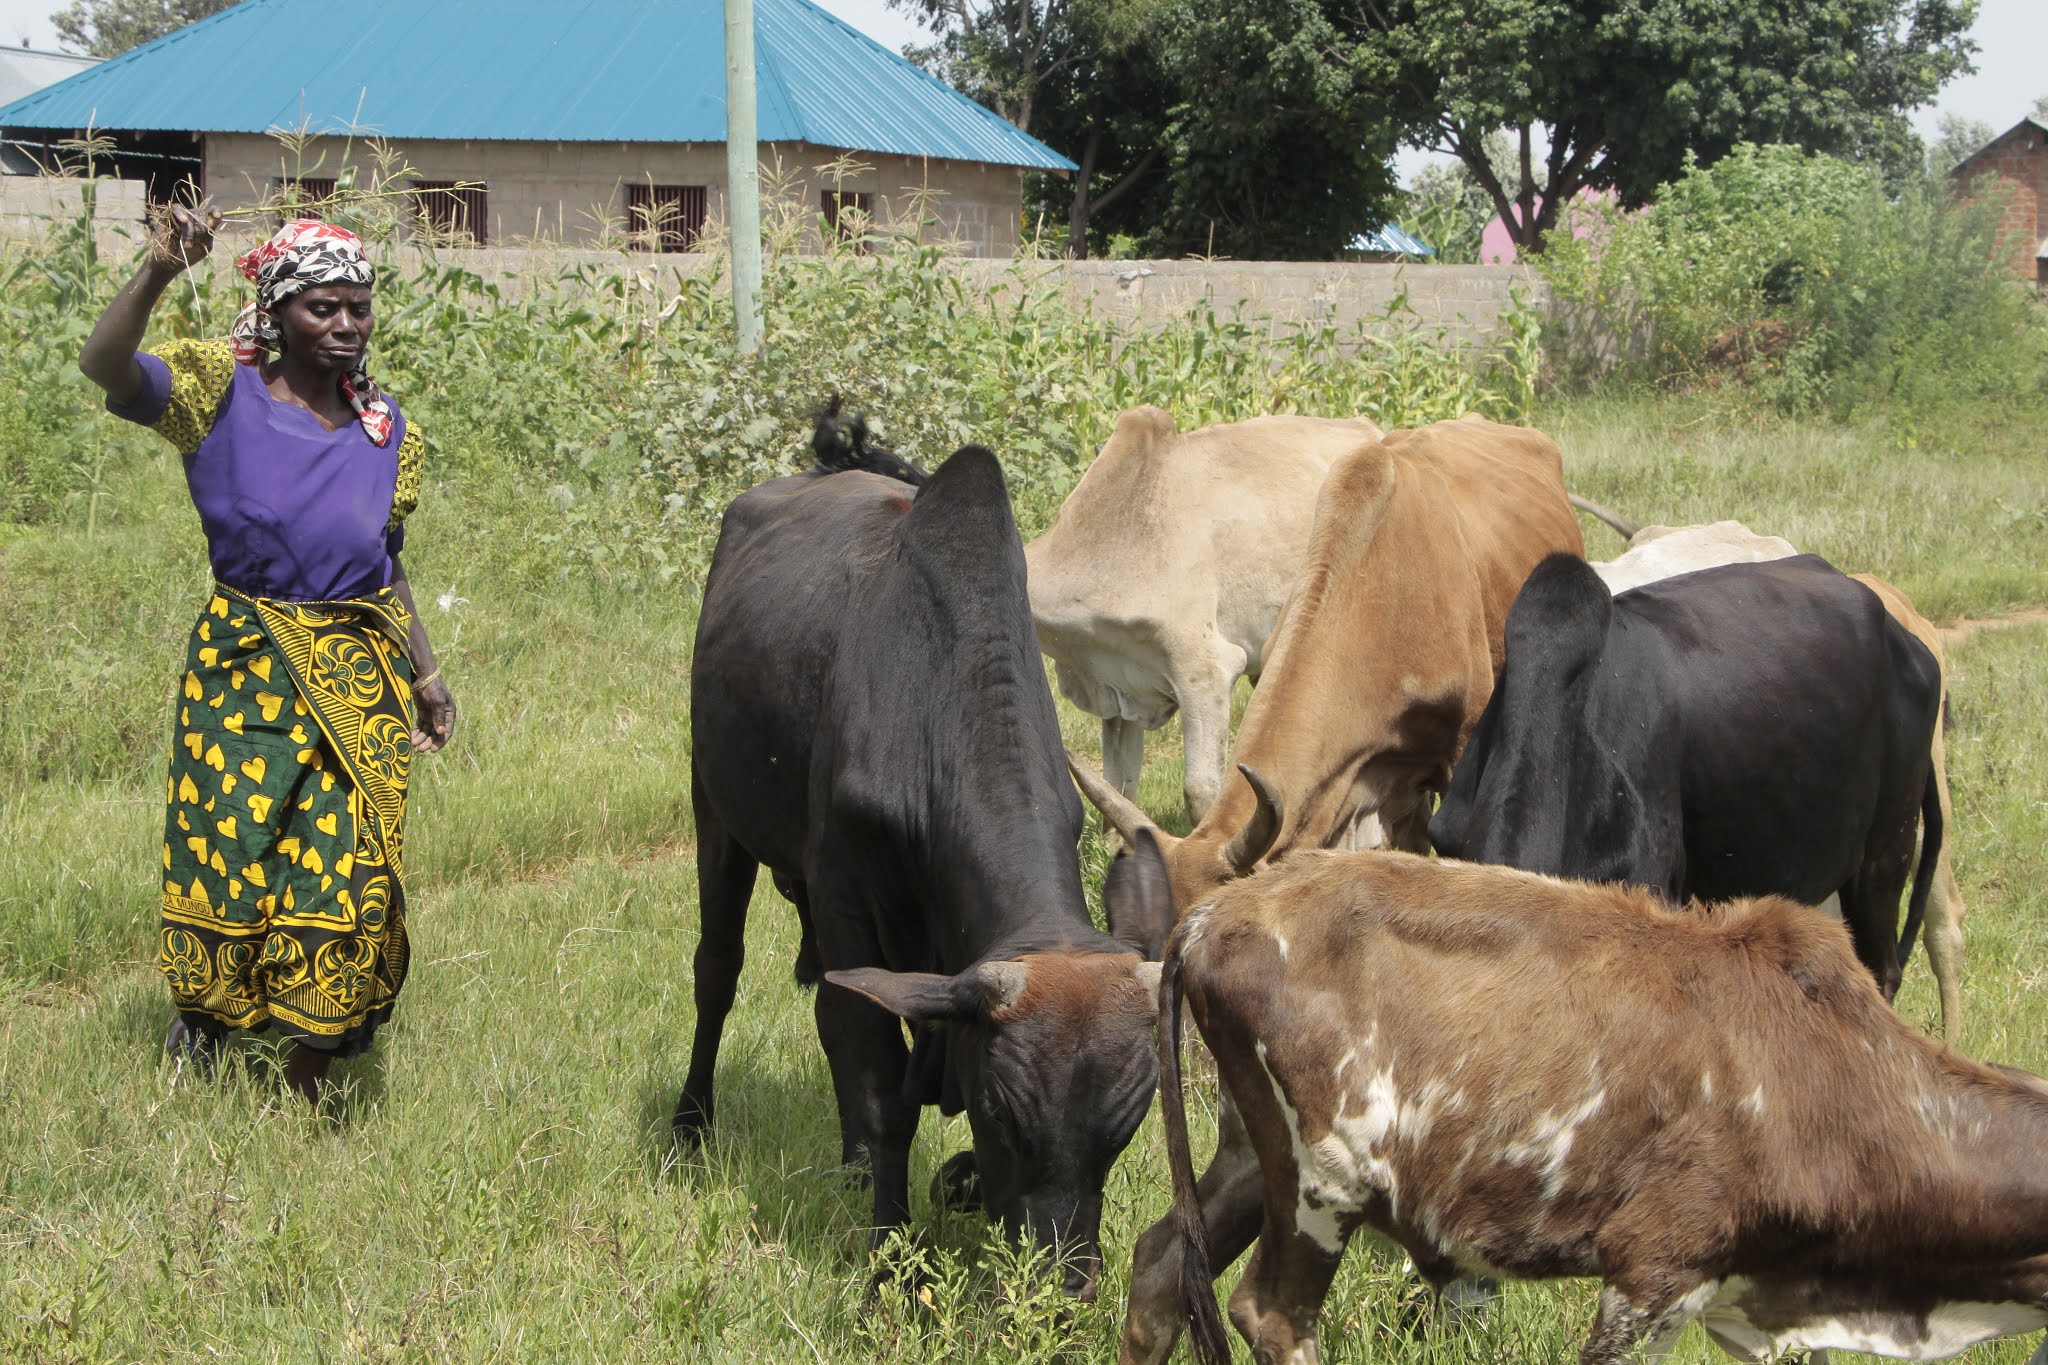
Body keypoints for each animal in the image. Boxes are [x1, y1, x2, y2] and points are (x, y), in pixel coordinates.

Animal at [675, 431, 1171, 1301]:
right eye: (1003, 1108)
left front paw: (948, 1183)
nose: (1061, 1288)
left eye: (1129, 1120)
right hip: (717, 808)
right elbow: (883, 1086)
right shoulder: (842, 895)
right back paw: (692, 1121)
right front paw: (887, 1264)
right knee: (718, 971)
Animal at [1122, 834, 2048, 1365]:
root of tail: (1210, 914)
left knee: (1162, 1264)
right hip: (1324, 1178)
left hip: (1248, 1152)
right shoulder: (1654, 1270)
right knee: (1271, 1316)